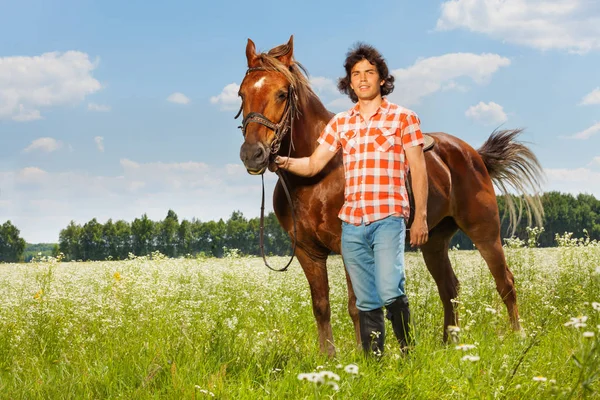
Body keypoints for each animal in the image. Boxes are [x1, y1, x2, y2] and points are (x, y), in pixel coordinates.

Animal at [238, 36, 544, 356]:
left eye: (282, 94)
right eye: (241, 94)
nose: (253, 154)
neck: (315, 178)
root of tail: (473, 154)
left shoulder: (348, 245)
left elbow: (356, 305)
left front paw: (363, 355)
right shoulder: (307, 252)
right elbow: (321, 306)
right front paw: (328, 358)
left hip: (485, 231)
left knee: (505, 282)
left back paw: (518, 337)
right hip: (434, 242)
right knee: (449, 288)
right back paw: (449, 342)